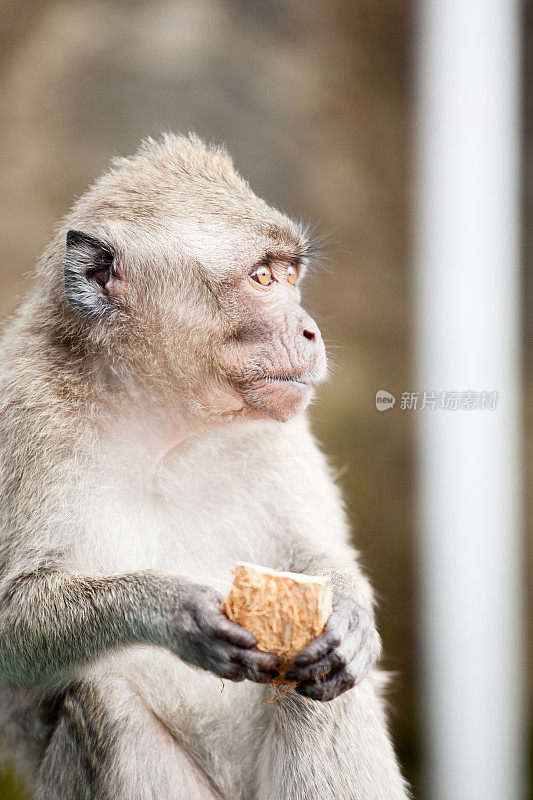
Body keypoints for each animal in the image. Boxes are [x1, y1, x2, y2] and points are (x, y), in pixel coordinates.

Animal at [0, 134, 410, 796]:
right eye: (262, 276)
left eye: (290, 274)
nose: (309, 330)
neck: (165, 426)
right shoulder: (23, 415)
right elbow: (11, 622)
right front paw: (173, 610)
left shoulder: (281, 431)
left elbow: (318, 556)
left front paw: (350, 622)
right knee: (100, 696)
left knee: (321, 694)